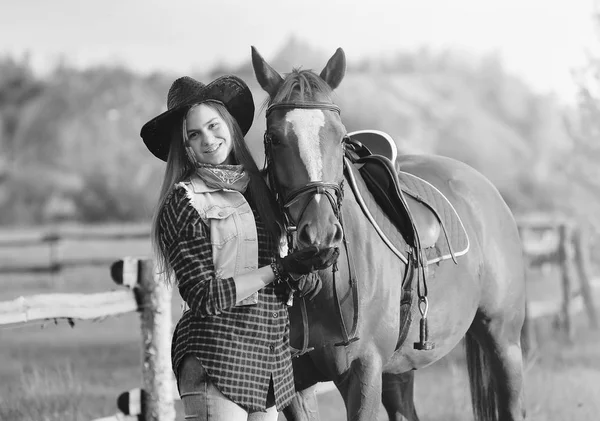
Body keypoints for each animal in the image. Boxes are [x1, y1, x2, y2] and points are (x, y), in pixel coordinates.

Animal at [248, 46, 524, 420]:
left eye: (341, 136)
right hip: (400, 368)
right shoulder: (294, 388)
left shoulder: (363, 372)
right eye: (275, 138)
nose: (320, 236)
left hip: (504, 340)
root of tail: (484, 187)